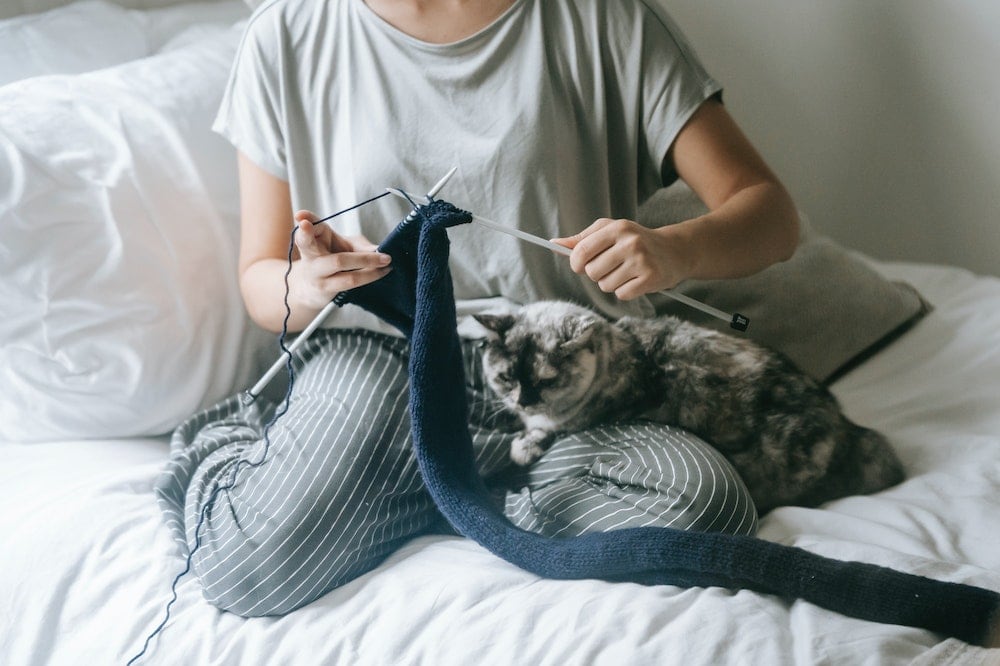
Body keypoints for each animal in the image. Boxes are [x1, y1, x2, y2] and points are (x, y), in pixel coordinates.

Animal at [476, 298, 908, 510]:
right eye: (507, 377)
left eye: (546, 380)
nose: (524, 401)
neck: (621, 352)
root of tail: (847, 429)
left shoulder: (587, 414)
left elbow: (548, 431)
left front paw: (524, 445)